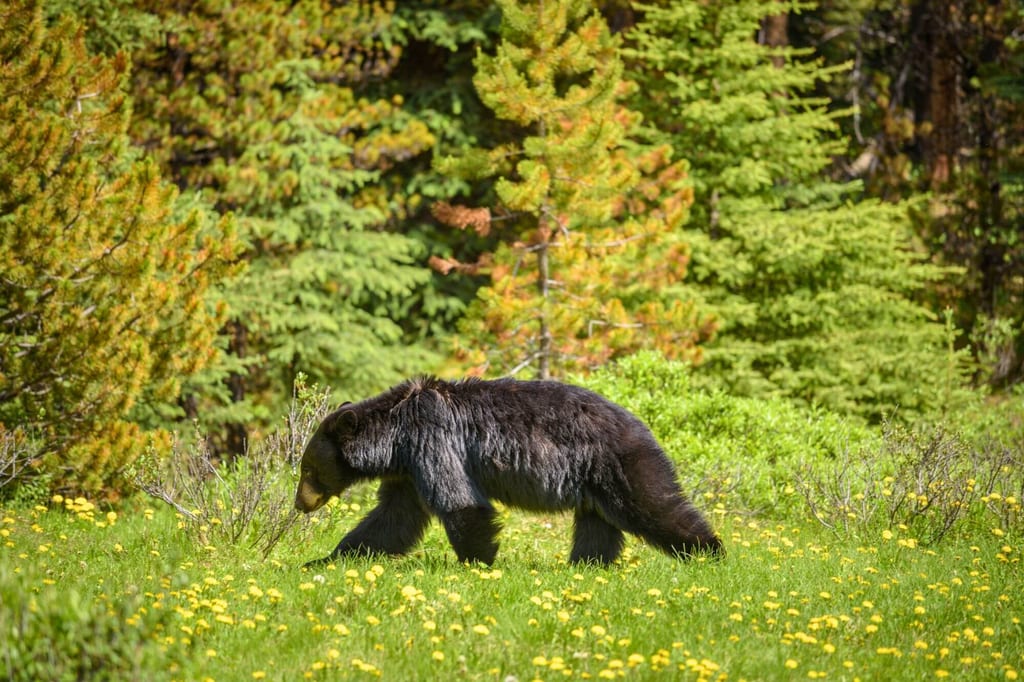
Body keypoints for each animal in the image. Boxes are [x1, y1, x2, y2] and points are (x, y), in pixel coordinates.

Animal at [294, 376, 723, 566]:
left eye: (308, 469)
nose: (300, 504)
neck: (395, 435)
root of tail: (641, 424)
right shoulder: (408, 470)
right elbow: (392, 518)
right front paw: (326, 559)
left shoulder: (432, 438)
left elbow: (460, 502)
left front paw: (478, 563)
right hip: (595, 483)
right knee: (597, 526)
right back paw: (585, 565)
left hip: (621, 464)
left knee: (655, 506)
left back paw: (709, 551)